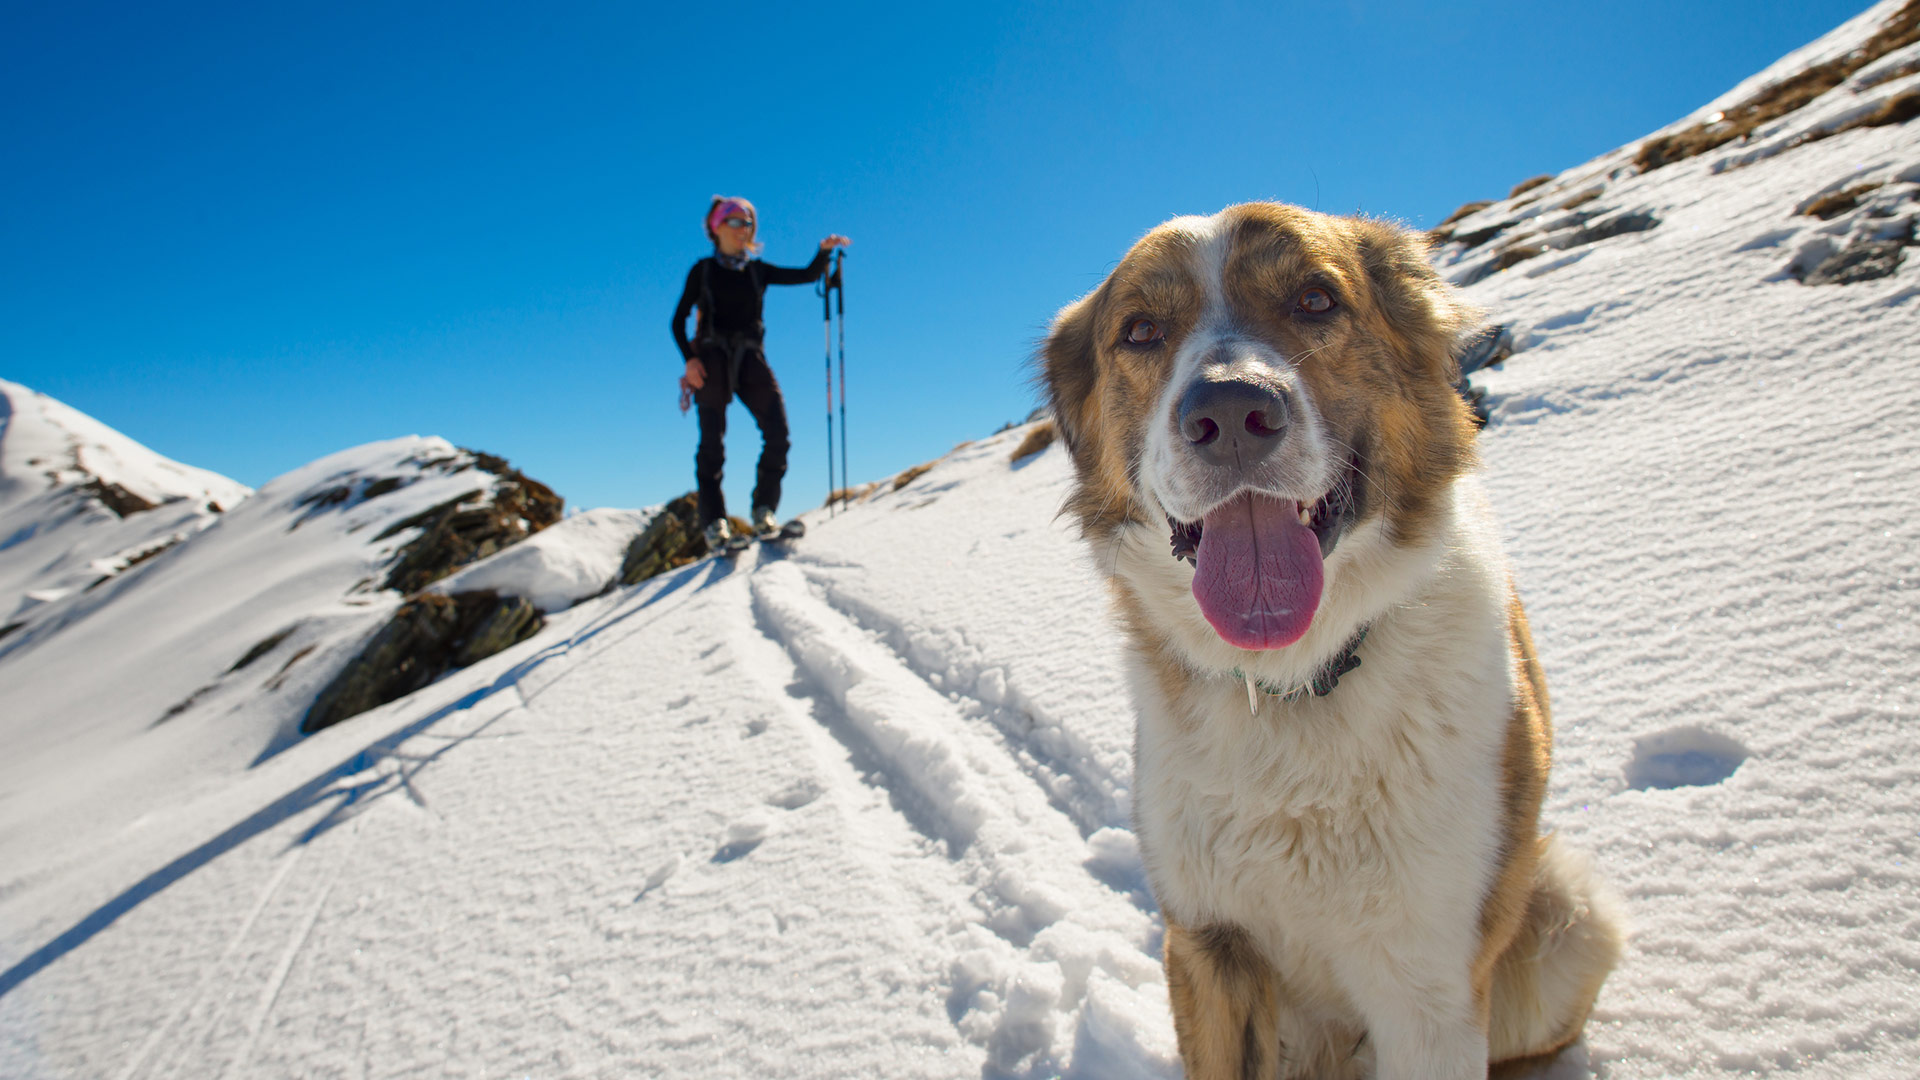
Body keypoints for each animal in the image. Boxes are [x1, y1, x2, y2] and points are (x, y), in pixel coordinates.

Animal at [1036, 203, 1620, 1076]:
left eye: (1315, 299)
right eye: (1140, 330)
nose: (1231, 415)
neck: (1296, 679)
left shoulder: (1432, 990)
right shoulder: (1206, 944)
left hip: (1571, 914)